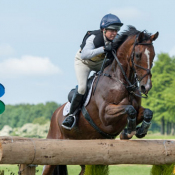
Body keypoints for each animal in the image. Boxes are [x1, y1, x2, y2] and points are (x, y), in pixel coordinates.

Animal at [42, 26, 159, 175]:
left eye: (153, 55)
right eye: (138, 55)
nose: (146, 87)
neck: (121, 81)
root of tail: (55, 113)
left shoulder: (136, 110)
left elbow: (147, 112)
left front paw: (140, 130)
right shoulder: (106, 115)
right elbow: (129, 109)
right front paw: (129, 131)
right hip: (52, 147)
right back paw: (68, 120)